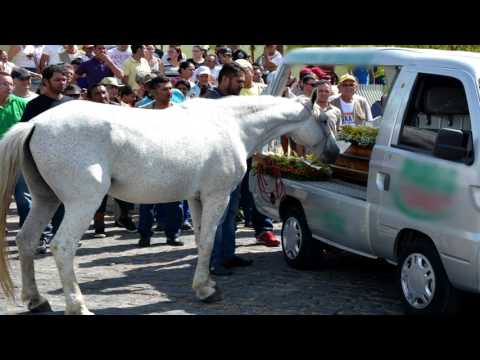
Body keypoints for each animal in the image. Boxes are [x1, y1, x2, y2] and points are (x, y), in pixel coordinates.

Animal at [0, 94, 340, 314]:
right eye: (324, 119)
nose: (334, 153)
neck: (230, 124)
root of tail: (35, 124)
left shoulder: (197, 198)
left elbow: (202, 240)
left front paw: (205, 284)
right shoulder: (216, 196)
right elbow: (208, 241)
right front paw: (206, 291)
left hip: (45, 200)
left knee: (27, 240)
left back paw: (37, 300)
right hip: (82, 205)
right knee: (62, 247)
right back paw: (77, 306)